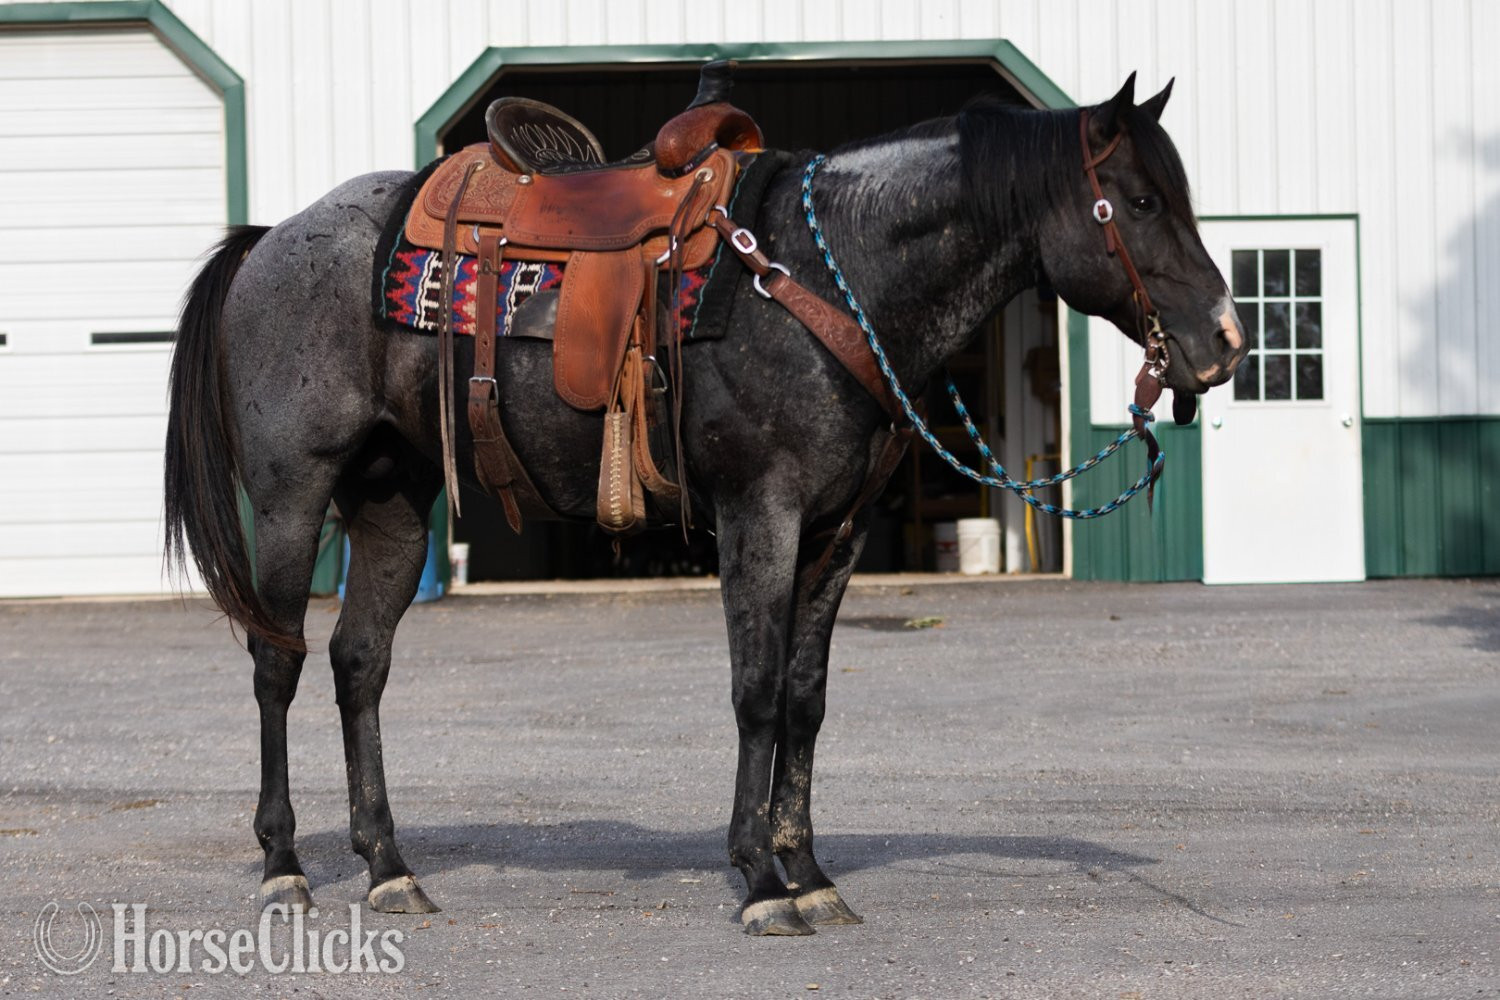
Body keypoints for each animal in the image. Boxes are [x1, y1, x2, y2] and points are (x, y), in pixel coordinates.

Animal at [164, 73, 1246, 936]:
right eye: (1138, 199)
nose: (1227, 342)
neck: (826, 277)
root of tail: (272, 241)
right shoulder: (758, 510)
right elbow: (755, 689)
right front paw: (761, 880)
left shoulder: (839, 532)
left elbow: (806, 698)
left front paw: (810, 870)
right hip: (295, 491)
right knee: (277, 661)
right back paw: (284, 866)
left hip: (392, 496)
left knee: (359, 664)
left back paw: (390, 868)